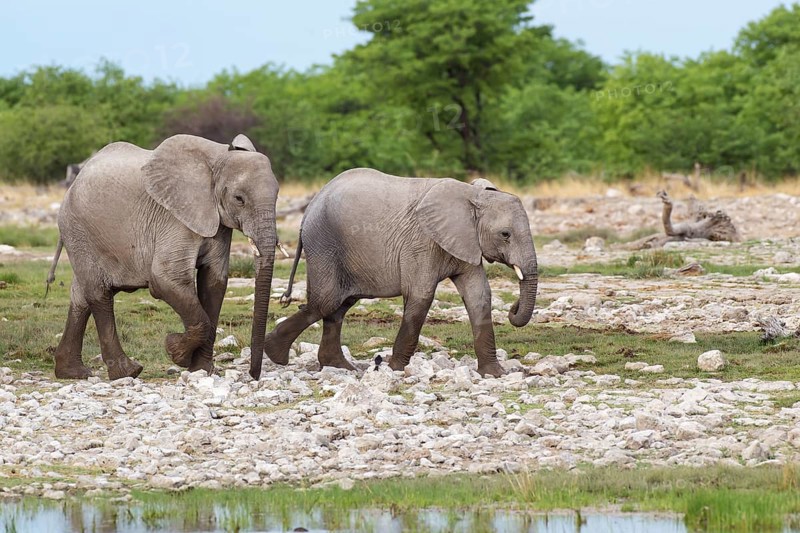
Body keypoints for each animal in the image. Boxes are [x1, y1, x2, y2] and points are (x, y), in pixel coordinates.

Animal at [48, 133, 279, 380]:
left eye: (277, 196)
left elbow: (214, 282)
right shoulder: (174, 218)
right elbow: (165, 279)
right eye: (239, 199)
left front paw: (201, 370)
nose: (254, 374)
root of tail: (74, 183)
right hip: (78, 231)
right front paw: (175, 350)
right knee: (99, 293)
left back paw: (72, 372)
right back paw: (127, 371)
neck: (218, 159)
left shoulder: (217, 224)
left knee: (81, 295)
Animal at [259, 168, 538, 378]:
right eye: (505, 234)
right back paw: (274, 353)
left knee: (339, 306)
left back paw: (339, 367)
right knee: (326, 302)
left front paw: (494, 374)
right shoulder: (422, 242)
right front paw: (394, 369)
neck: (473, 195)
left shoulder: (465, 241)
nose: (514, 307)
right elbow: (421, 296)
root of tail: (309, 208)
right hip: (324, 245)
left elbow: (479, 297)